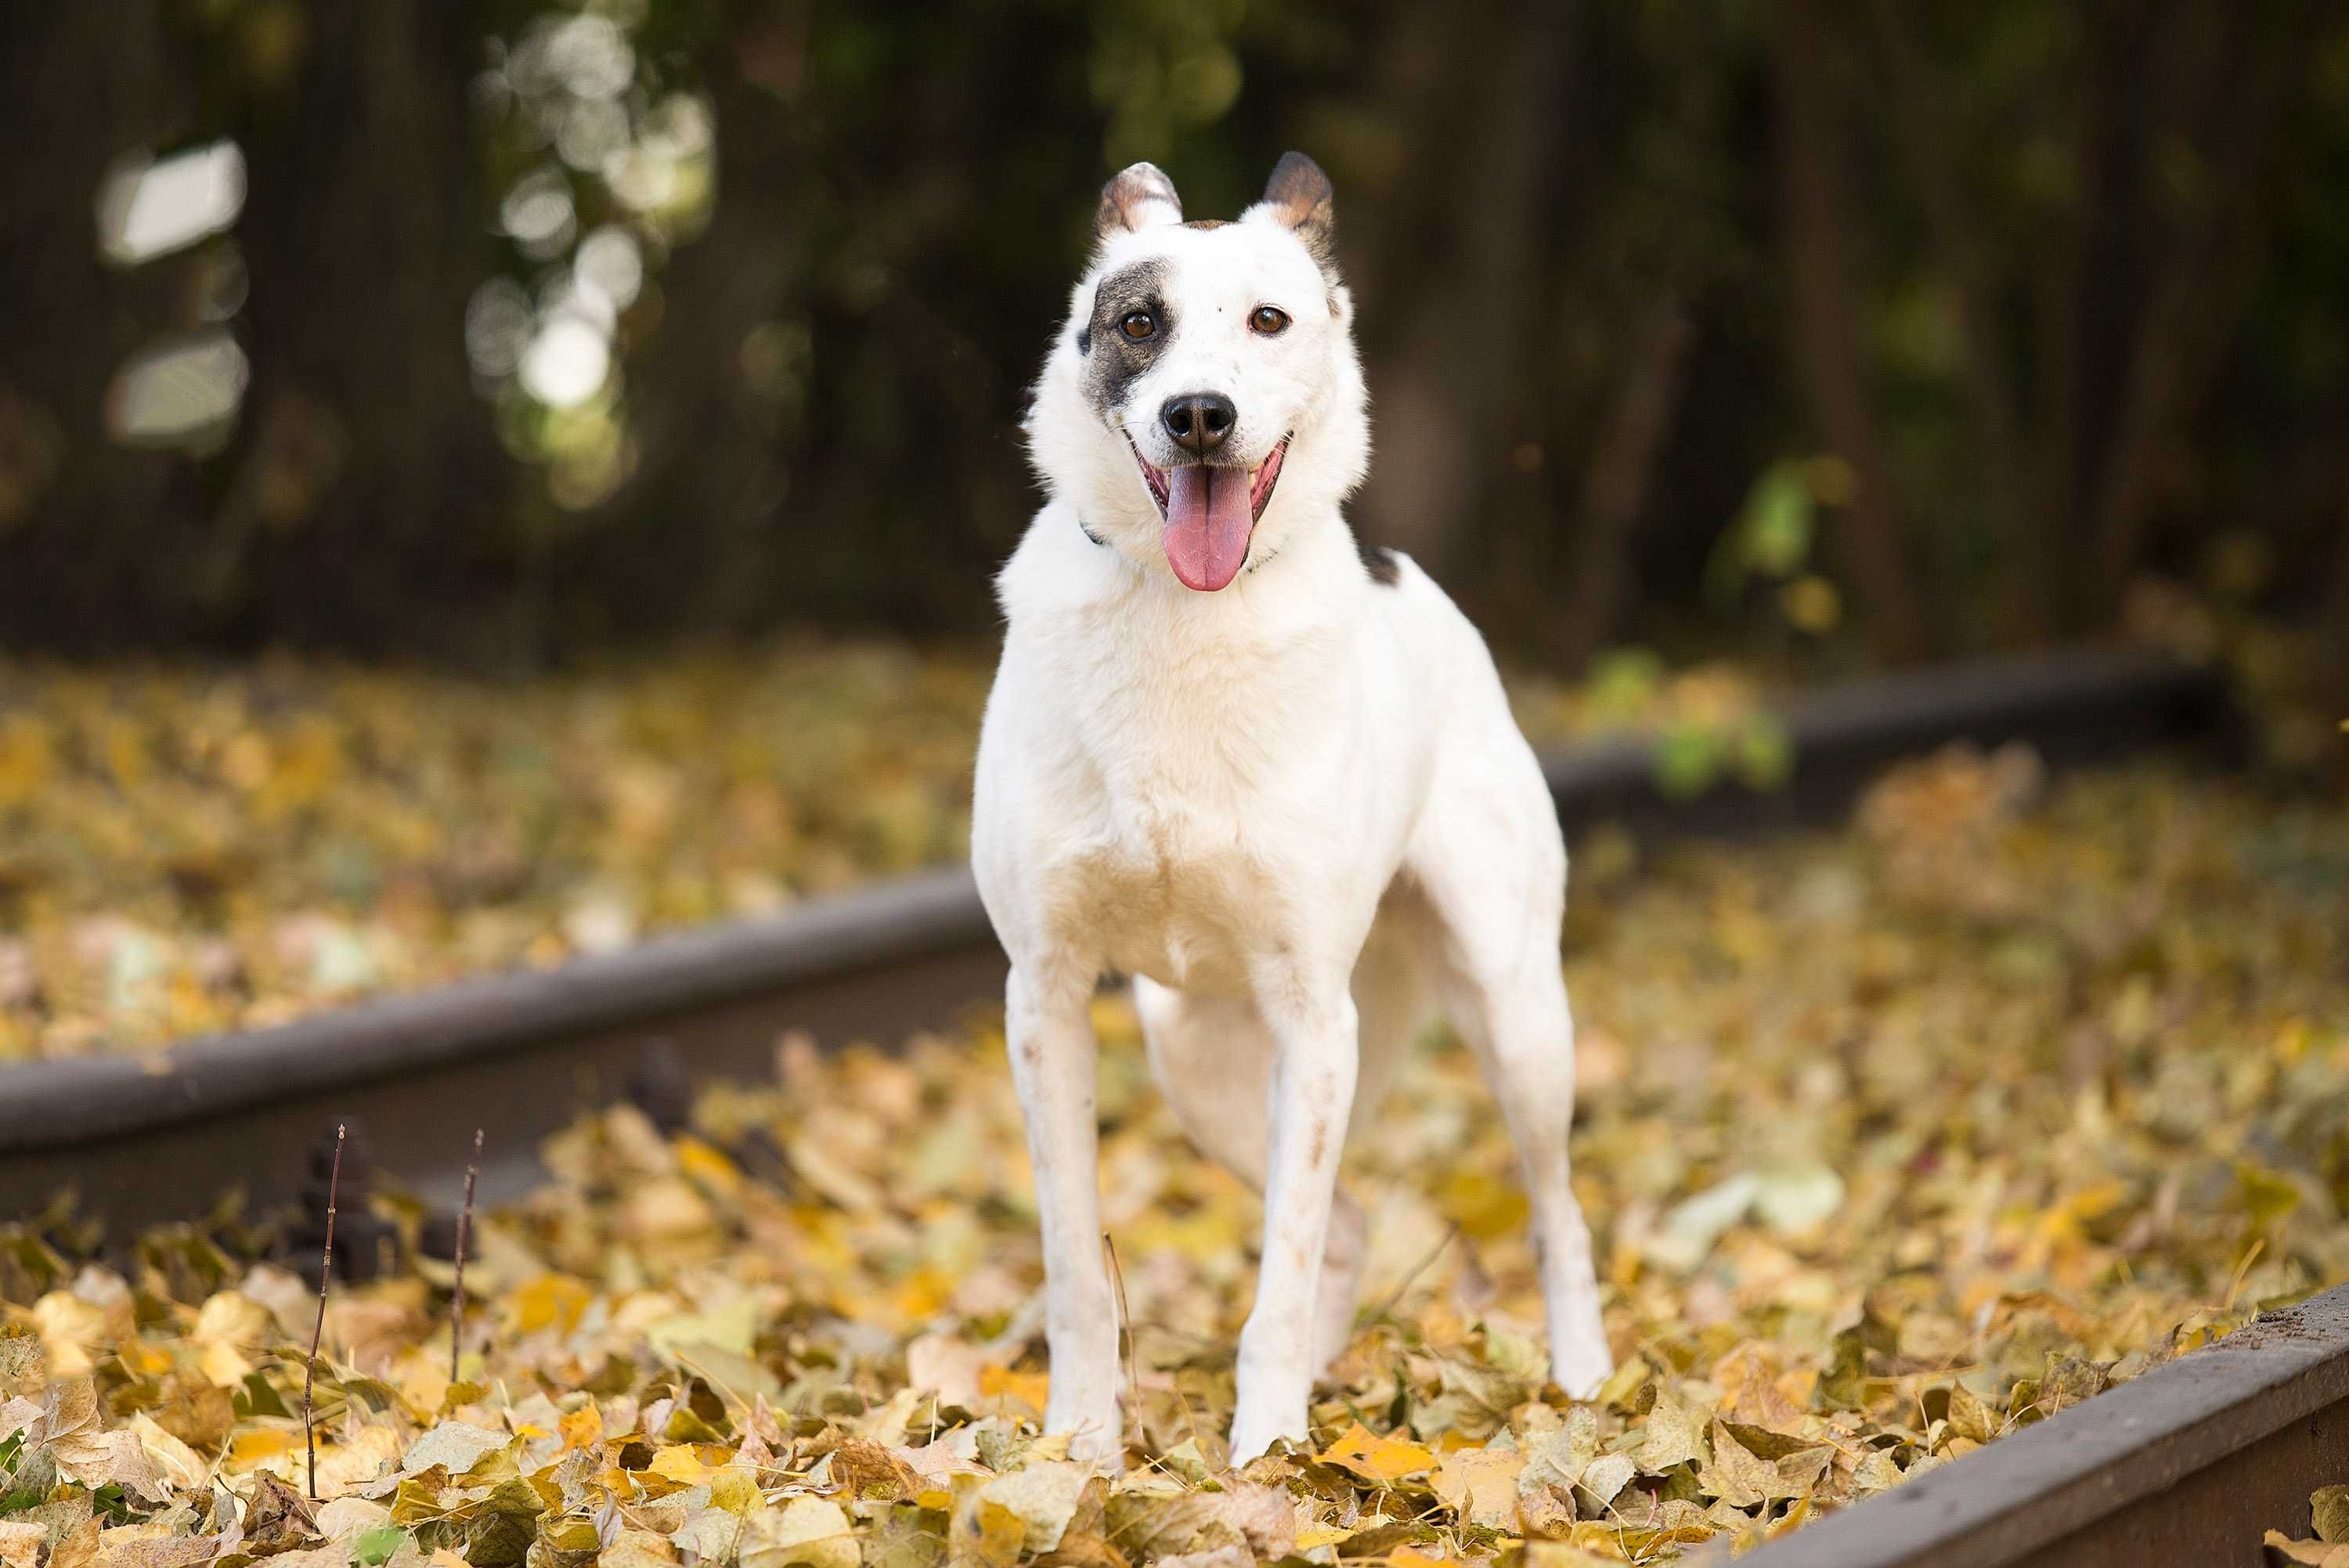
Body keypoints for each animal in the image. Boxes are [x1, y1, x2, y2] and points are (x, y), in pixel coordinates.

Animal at [972, 152, 1616, 1465]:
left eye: (1269, 321)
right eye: (1139, 324)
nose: (1199, 415)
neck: (1185, 606)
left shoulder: (1315, 1017)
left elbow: (1280, 1265)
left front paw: (1262, 1453)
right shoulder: (1044, 999)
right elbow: (1076, 1269)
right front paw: (1081, 1453)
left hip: (1516, 1015)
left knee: (1555, 1210)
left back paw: (1579, 1378)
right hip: (1198, 1059)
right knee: (1353, 1223)